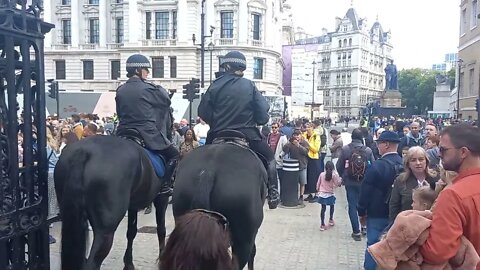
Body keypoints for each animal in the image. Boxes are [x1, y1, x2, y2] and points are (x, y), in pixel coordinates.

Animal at [54, 136, 171, 268]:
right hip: (105, 232)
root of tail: (83, 151)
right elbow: (161, 229)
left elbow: (131, 232)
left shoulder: (132, 206)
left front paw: (128, 264)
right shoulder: (162, 199)